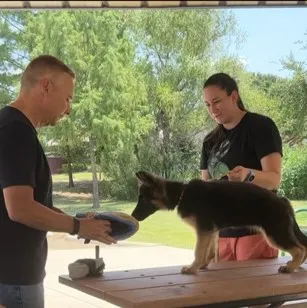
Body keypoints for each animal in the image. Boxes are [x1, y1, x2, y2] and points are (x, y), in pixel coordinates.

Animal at [132, 171, 307, 274]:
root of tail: (283, 200)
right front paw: (202, 265)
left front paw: (193, 268)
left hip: (275, 234)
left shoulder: (204, 230)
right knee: (302, 247)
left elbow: (198, 251)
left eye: (143, 199)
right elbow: (209, 251)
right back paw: (296, 265)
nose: (133, 216)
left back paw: (290, 267)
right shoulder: (211, 231)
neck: (181, 194)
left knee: (299, 249)